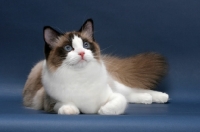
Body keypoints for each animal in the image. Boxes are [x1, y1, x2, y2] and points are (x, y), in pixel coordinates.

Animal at [22, 19, 169, 115]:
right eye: (68, 48)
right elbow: (66, 107)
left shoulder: (113, 95)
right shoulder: (49, 102)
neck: (81, 77)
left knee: (130, 91)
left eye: (86, 45)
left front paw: (103, 110)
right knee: (130, 94)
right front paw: (71, 109)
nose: (82, 53)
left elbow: (119, 102)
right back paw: (148, 98)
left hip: (116, 86)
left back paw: (160, 97)